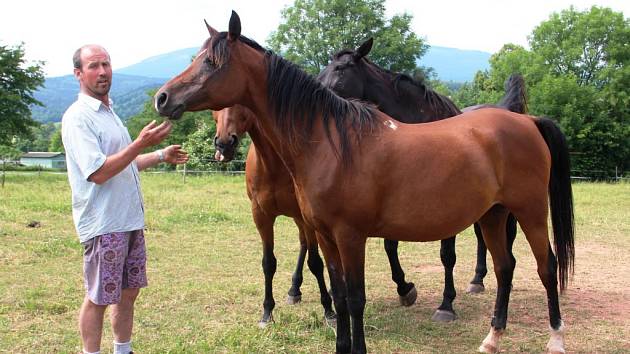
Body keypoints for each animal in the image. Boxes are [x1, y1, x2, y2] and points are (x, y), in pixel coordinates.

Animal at [316, 37, 528, 320]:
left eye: (341, 67)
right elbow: (390, 246)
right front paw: (405, 288)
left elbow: (447, 255)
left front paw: (446, 304)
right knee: (483, 238)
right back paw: (477, 280)